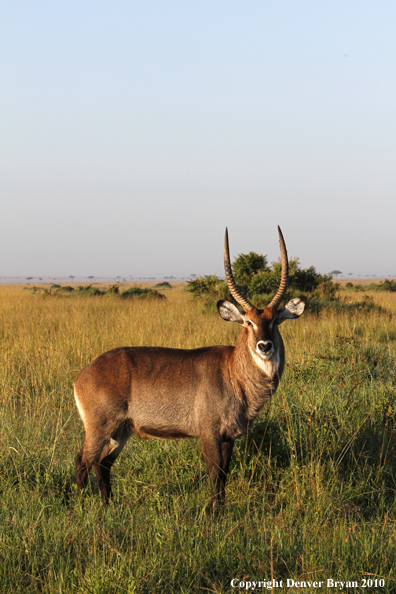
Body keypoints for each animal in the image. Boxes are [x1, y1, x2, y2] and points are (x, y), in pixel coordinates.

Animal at [74, 225, 306, 500]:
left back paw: (107, 505)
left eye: (275, 321)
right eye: (248, 322)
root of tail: (82, 375)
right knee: (83, 462)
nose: (265, 346)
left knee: (102, 464)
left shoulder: (229, 438)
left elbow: (223, 478)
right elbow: (215, 477)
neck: (234, 373)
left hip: (120, 432)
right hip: (99, 428)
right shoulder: (209, 434)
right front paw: (214, 510)